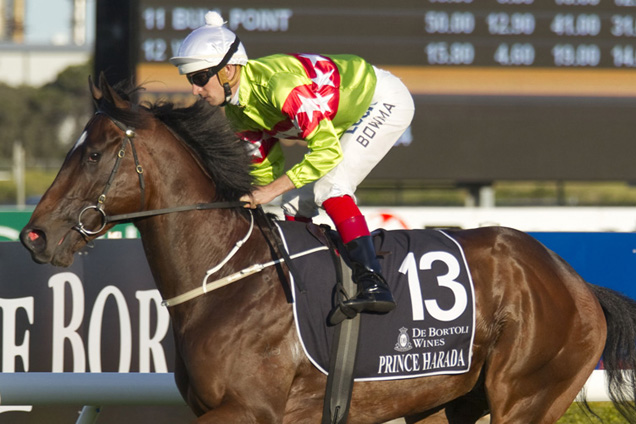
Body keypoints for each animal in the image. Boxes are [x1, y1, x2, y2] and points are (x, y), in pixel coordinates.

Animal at [19, 74, 636, 422]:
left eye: (92, 154)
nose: (34, 234)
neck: (227, 279)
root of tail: (575, 281)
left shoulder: (249, 410)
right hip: (444, 402)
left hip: (527, 395)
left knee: (334, 183)